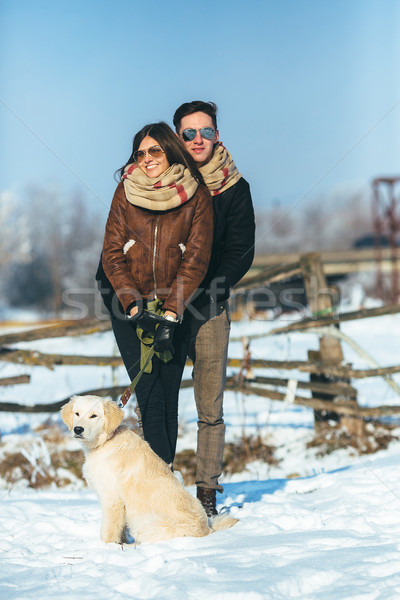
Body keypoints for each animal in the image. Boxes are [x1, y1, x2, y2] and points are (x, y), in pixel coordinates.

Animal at [61, 396, 239, 548]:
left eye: (94, 416)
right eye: (77, 413)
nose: (78, 429)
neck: (107, 441)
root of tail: (207, 530)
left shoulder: (112, 498)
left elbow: (109, 529)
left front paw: (108, 546)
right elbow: (120, 528)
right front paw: (120, 543)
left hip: (146, 523)